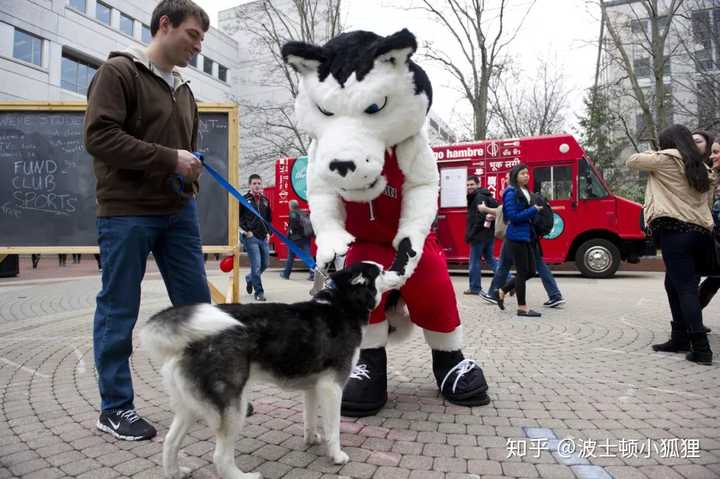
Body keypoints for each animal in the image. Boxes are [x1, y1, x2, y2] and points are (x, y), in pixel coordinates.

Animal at [141, 262, 388, 479]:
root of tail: (189, 339)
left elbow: (309, 420)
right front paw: (336, 456)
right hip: (234, 409)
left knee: (170, 442)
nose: (396, 270)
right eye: (382, 271)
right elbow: (333, 429)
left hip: (189, 407)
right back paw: (243, 476)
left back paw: (175, 472)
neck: (342, 304)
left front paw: (311, 440)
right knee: (220, 457)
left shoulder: (313, 388)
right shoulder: (332, 388)